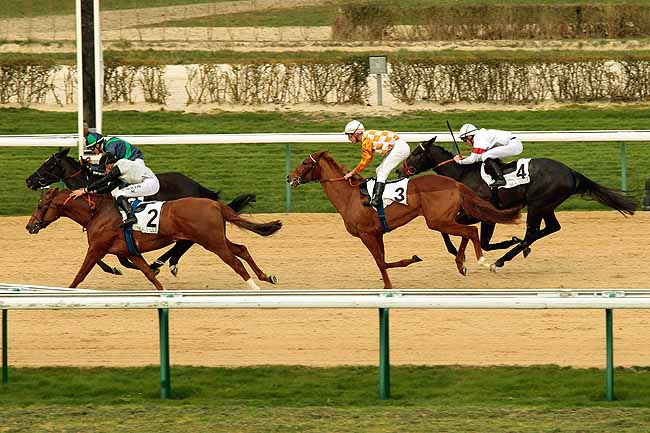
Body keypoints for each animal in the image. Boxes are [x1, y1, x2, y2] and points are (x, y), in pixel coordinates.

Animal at [26, 188, 280, 290]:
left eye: (40, 205)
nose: (29, 226)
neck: (97, 212)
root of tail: (214, 204)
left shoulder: (97, 248)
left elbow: (80, 274)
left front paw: (68, 292)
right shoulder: (130, 252)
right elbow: (149, 274)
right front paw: (163, 290)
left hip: (212, 242)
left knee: (235, 261)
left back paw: (254, 286)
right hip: (216, 239)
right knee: (241, 249)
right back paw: (267, 277)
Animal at [27, 148, 256, 276]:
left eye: (49, 164)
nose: (29, 180)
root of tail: (197, 186)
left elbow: (120, 258)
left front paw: (129, 267)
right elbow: (104, 258)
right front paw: (116, 268)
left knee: (185, 242)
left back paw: (164, 262)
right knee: (186, 242)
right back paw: (165, 262)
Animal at [286, 150, 520, 288]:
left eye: (305, 162)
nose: (289, 177)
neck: (349, 196)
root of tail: (455, 183)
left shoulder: (366, 234)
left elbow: (381, 262)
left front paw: (399, 274)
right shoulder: (376, 233)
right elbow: (382, 262)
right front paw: (390, 282)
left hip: (437, 220)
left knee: (471, 231)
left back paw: (482, 261)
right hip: (443, 219)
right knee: (467, 232)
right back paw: (461, 263)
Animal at [392, 137, 636, 268]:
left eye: (415, 154)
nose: (399, 171)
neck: (462, 175)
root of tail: (569, 171)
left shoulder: (483, 214)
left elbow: (475, 238)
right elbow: (453, 232)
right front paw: (459, 253)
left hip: (537, 205)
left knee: (533, 231)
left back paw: (503, 259)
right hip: (545, 206)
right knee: (551, 228)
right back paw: (521, 248)